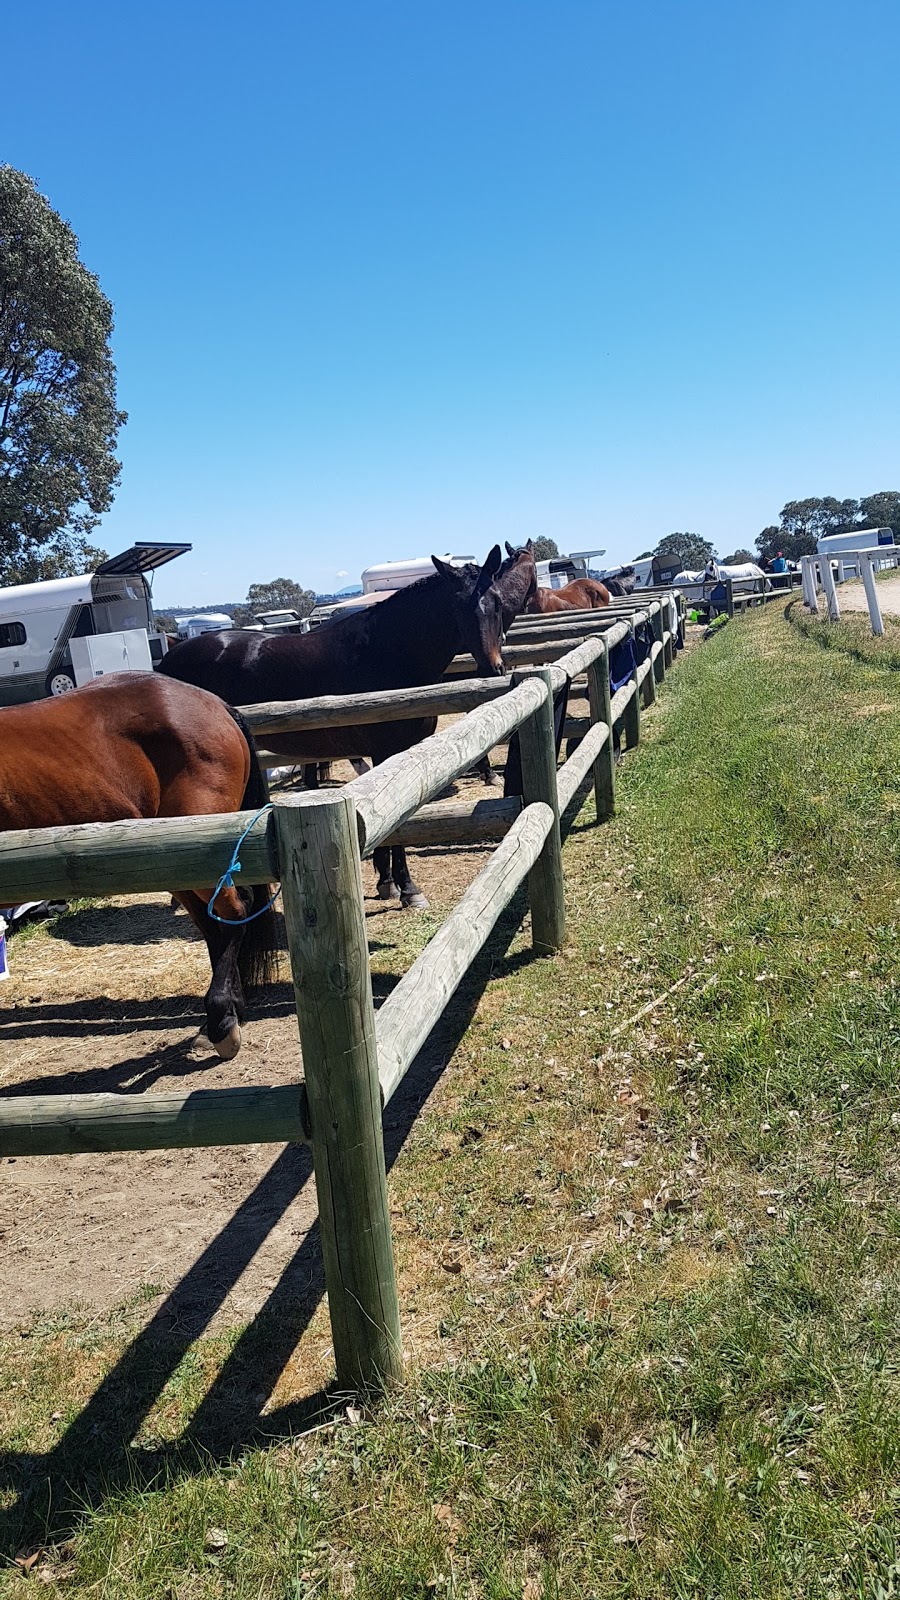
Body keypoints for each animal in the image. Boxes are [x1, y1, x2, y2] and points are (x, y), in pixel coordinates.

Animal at [159, 550, 506, 908]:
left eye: (497, 601)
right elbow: (394, 823)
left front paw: (387, 882)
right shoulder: (385, 752)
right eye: (457, 607)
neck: (386, 653)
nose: (492, 668)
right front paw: (407, 888)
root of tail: (167, 659)